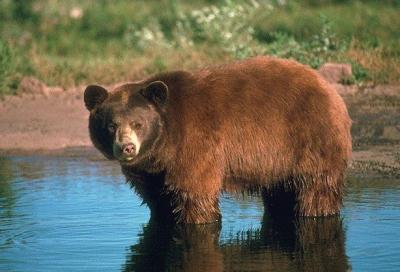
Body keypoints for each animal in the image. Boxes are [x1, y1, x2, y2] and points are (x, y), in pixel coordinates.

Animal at [83, 56, 350, 224]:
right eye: (111, 125)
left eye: (138, 124)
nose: (127, 147)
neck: (165, 143)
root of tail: (327, 86)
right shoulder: (150, 170)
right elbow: (157, 198)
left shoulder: (195, 143)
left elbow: (194, 192)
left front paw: (197, 218)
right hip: (278, 161)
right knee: (280, 190)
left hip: (310, 138)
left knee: (316, 186)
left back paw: (316, 212)